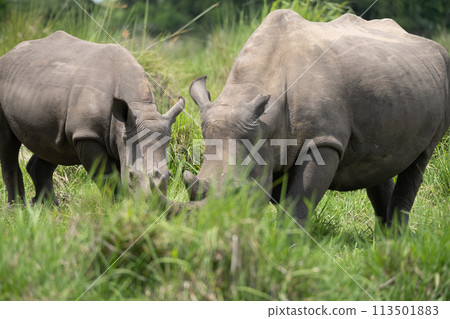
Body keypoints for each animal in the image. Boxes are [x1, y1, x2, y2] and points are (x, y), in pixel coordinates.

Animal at [0, 30, 184, 205]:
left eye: (169, 175)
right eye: (131, 175)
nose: (148, 208)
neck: (140, 107)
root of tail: (10, 52)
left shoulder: (118, 136)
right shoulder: (87, 133)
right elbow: (108, 178)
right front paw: (115, 208)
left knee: (53, 143)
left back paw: (49, 208)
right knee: (8, 144)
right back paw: (17, 208)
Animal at [183, 8, 450, 226]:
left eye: (238, 193)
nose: (209, 224)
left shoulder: (322, 140)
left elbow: (298, 202)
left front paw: (287, 245)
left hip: (442, 73)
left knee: (420, 160)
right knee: (377, 160)